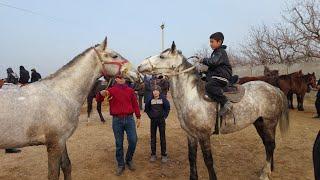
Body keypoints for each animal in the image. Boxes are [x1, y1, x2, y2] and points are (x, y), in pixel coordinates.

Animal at [0, 37, 132, 179]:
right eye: (114, 56)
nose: (135, 72)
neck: (61, 93)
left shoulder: (62, 141)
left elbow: (66, 166)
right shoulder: (55, 143)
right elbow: (53, 174)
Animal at [138, 41, 290, 180]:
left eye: (162, 56)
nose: (140, 66)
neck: (193, 96)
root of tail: (274, 88)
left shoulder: (204, 135)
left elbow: (208, 161)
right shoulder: (191, 135)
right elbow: (191, 158)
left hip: (269, 123)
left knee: (270, 145)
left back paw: (265, 173)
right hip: (259, 123)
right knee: (268, 144)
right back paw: (269, 169)